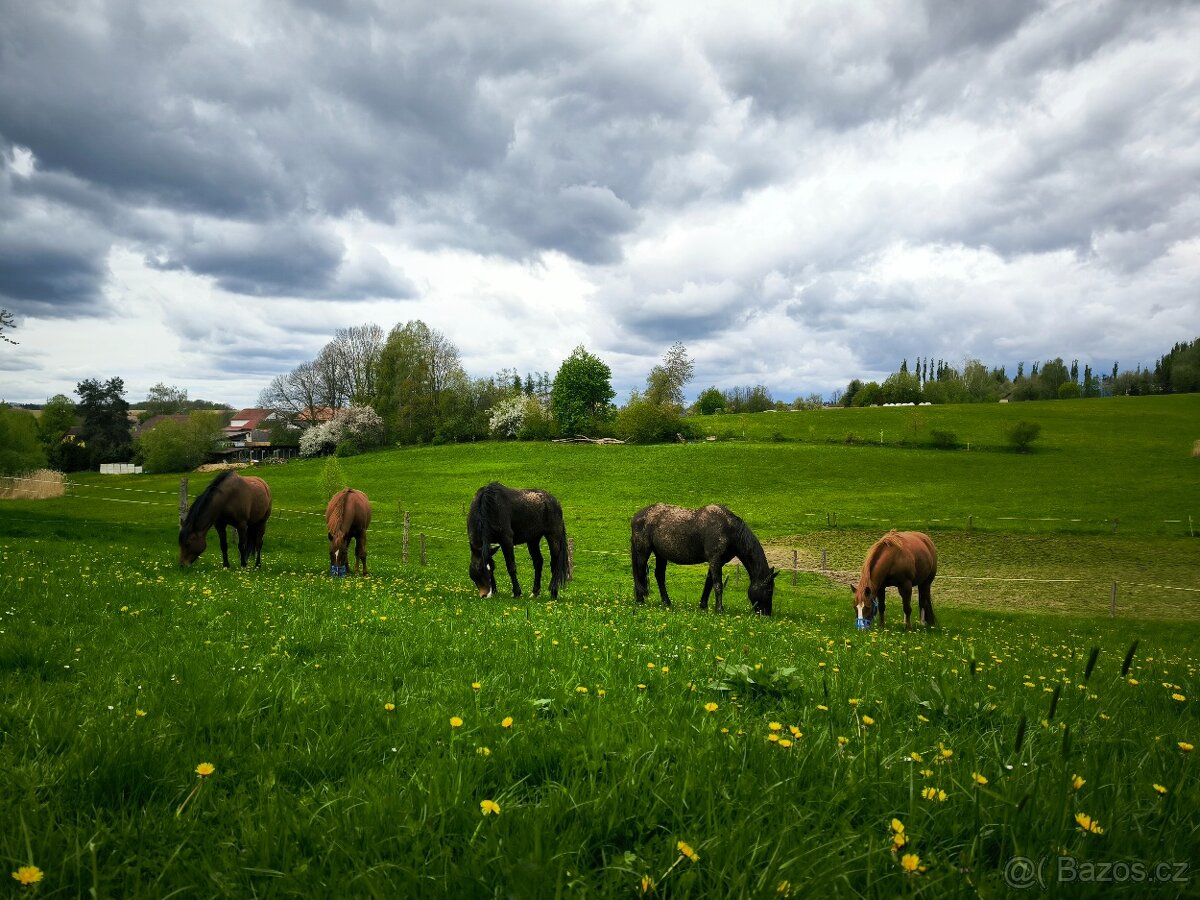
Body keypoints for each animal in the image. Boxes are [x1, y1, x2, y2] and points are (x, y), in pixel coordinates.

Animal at [628, 504, 777, 619]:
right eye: (769, 590)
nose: (766, 614)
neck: (728, 529)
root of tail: (636, 517)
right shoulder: (715, 559)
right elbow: (718, 585)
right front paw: (719, 610)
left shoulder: (717, 561)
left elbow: (709, 583)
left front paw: (703, 605)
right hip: (643, 552)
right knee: (640, 574)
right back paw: (640, 601)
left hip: (660, 554)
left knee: (659, 576)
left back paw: (666, 602)